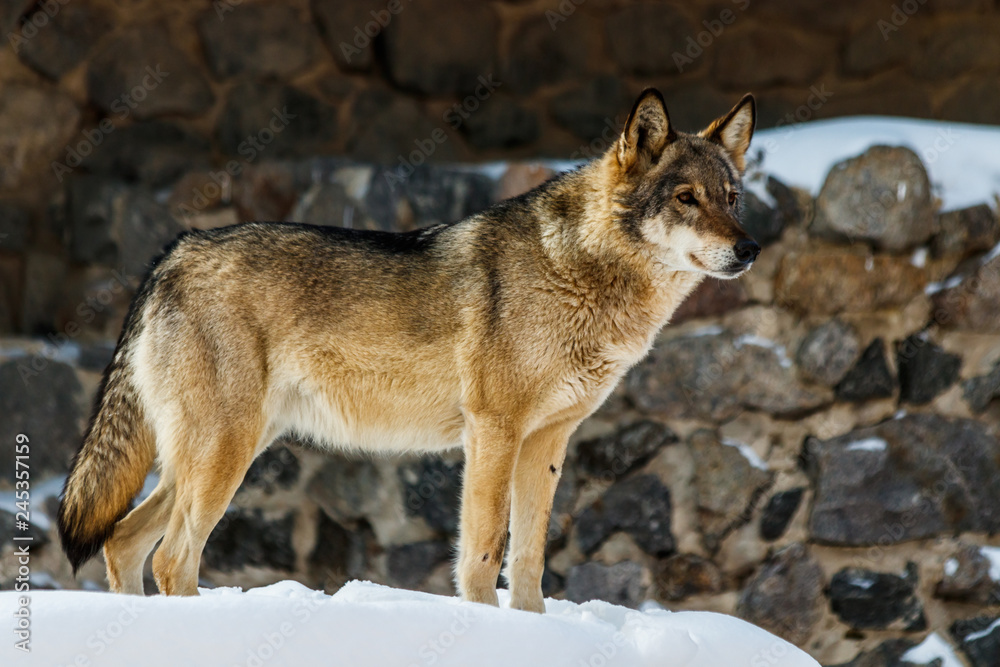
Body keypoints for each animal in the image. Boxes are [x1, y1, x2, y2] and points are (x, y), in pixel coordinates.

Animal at [58, 90, 756, 616]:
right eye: (686, 198)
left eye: (731, 198)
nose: (750, 249)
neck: (579, 271)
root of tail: (173, 251)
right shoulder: (493, 432)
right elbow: (482, 554)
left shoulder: (547, 443)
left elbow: (529, 562)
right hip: (223, 454)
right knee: (172, 558)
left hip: (219, 453)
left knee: (122, 543)